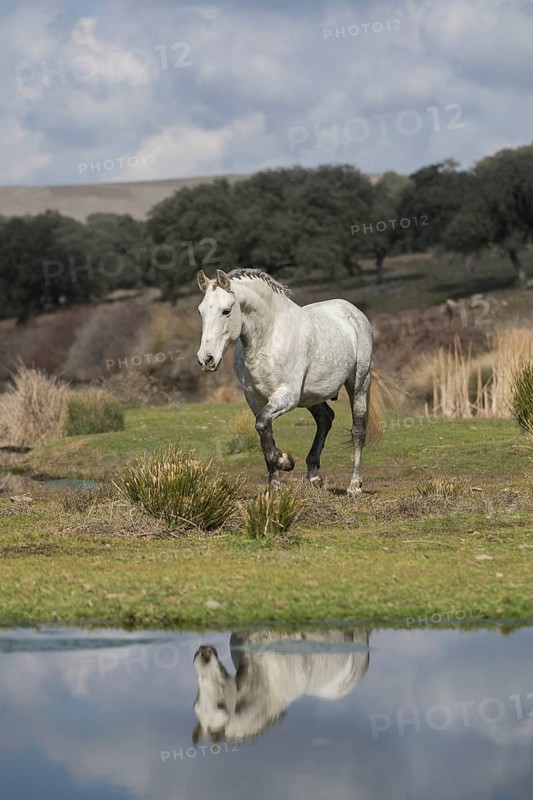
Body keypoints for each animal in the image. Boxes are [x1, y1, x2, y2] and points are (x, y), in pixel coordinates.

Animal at [196, 268, 387, 495]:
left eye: (226, 311)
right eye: (200, 312)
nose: (206, 359)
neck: (269, 337)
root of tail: (355, 312)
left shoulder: (287, 396)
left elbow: (262, 425)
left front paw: (286, 461)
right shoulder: (255, 399)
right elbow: (264, 431)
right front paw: (274, 488)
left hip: (358, 383)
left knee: (358, 431)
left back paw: (354, 486)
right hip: (312, 396)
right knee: (325, 419)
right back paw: (314, 476)